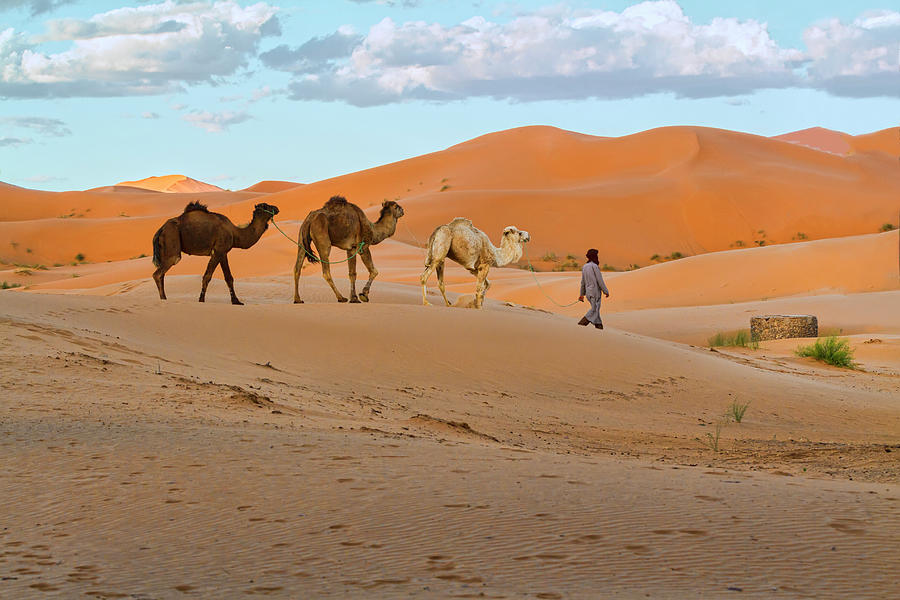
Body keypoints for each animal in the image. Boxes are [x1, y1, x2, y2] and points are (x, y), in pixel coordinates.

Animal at [151, 202, 280, 304]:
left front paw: (236, 301)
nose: (276, 208)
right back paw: (163, 299)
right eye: (265, 206)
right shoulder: (218, 251)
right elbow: (207, 276)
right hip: (172, 239)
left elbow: (229, 277)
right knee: (160, 272)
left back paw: (164, 299)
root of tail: (161, 229)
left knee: (161, 274)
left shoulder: (223, 253)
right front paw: (201, 300)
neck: (235, 233)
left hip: (164, 248)